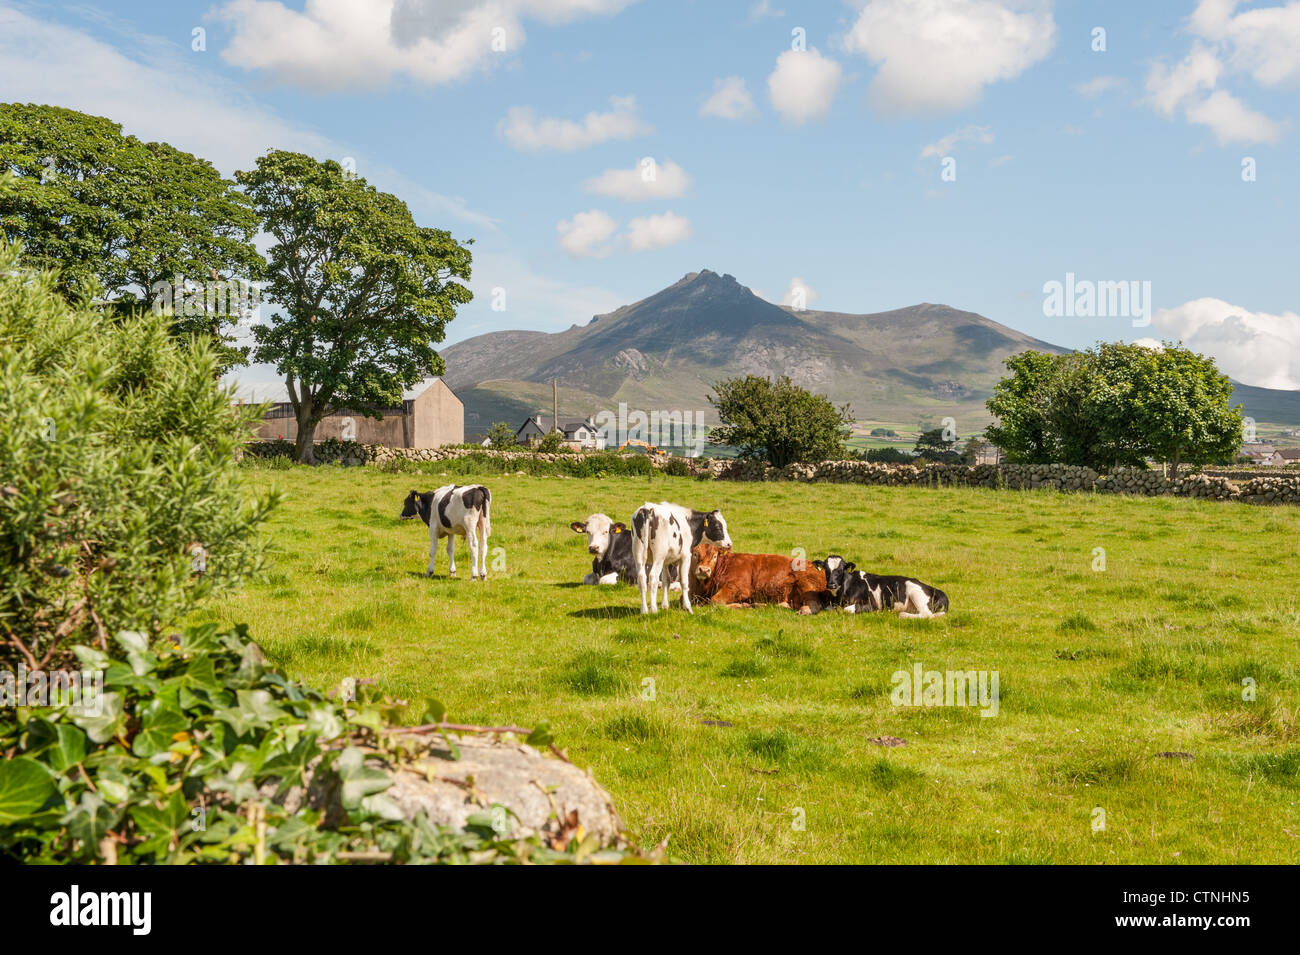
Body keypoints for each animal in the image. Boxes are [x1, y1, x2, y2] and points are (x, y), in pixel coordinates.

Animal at [686, 540, 826, 615]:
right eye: (695, 554)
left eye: (715, 556)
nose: (704, 570)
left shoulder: (738, 587)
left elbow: (715, 601)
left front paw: (741, 605)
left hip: (806, 583)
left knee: (814, 604)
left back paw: (804, 610)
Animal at [811, 553, 946, 621]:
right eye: (826, 569)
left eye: (840, 570)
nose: (831, 584)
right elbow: (827, 608)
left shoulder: (872, 604)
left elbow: (847, 609)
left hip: (916, 593)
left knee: (926, 614)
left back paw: (902, 615)